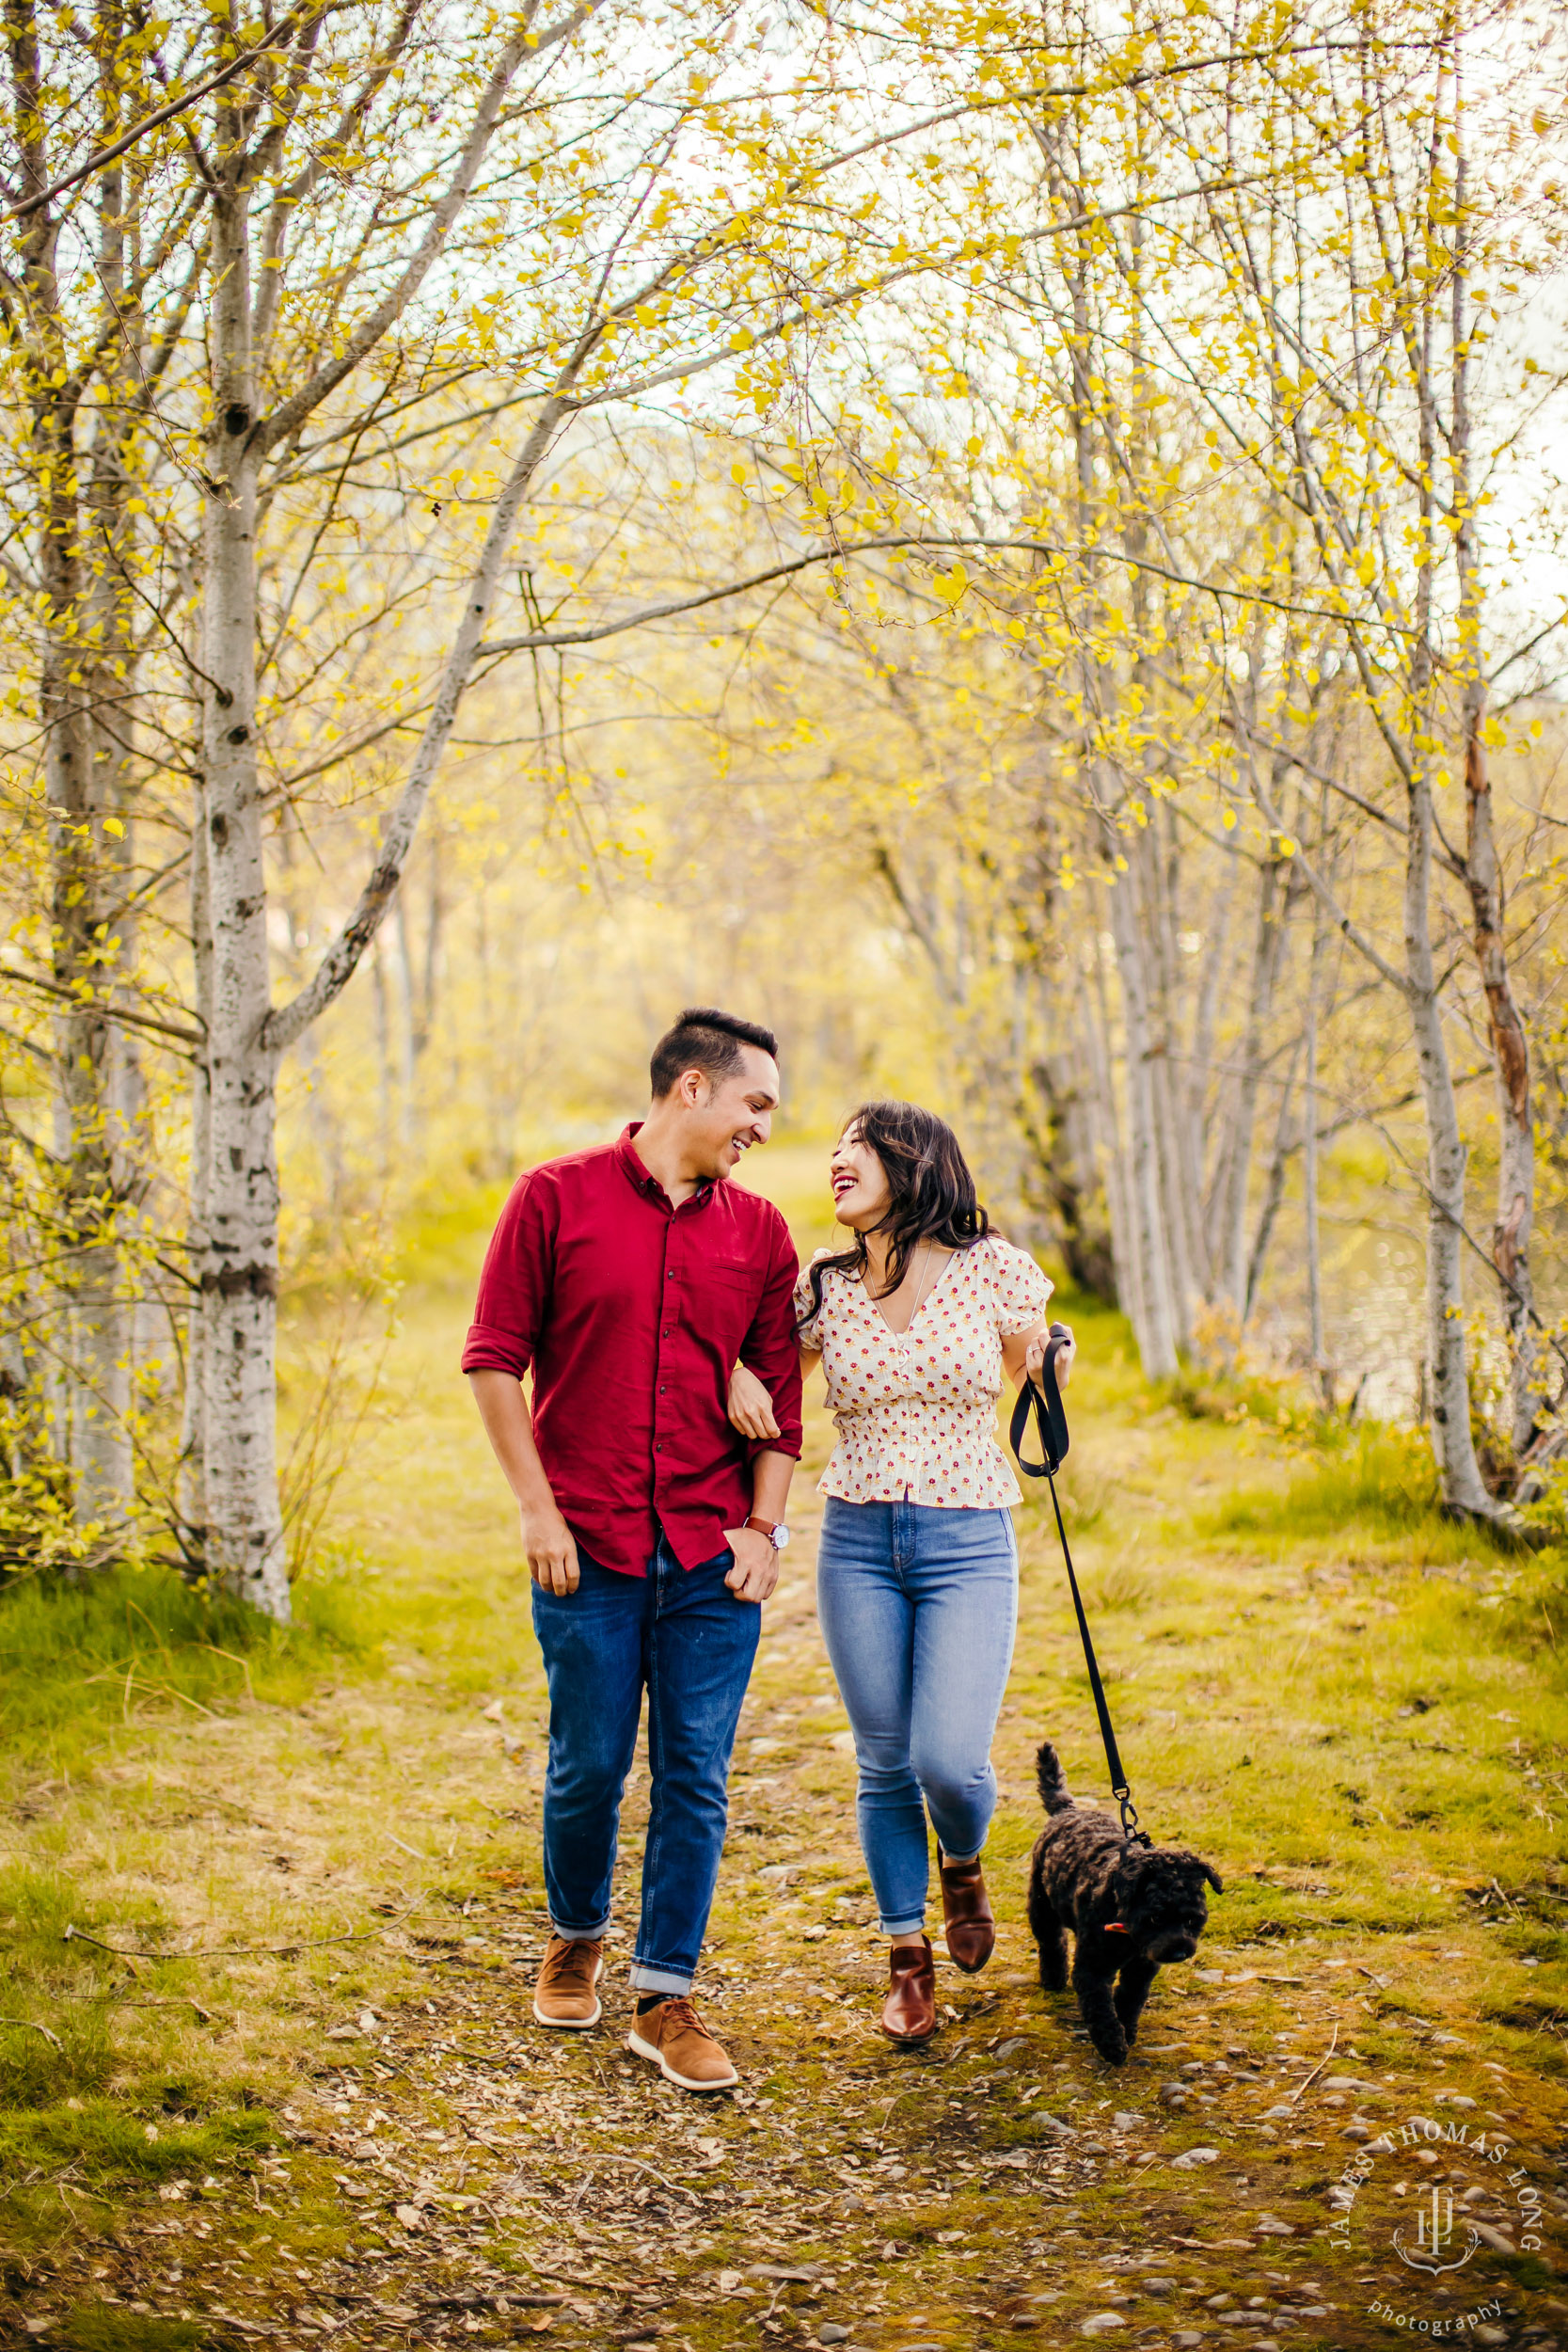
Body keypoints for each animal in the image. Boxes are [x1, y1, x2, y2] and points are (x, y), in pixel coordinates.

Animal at [1029, 1750, 1222, 2060]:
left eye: (1193, 1920)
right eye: (1156, 1918)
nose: (1179, 1952)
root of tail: (1066, 1810)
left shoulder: (1142, 1967)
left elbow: (1130, 1999)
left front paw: (1127, 2031)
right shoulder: (1093, 1968)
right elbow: (1099, 2008)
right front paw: (1112, 2046)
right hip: (1041, 1906)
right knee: (1051, 1942)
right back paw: (1053, 1979)